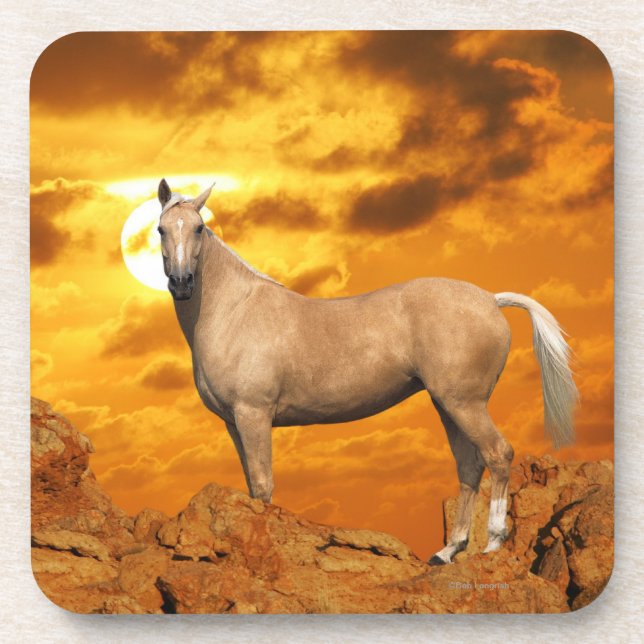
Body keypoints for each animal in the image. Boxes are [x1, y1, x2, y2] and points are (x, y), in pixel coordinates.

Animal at [156, 178, 578, 565]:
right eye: (161, 229)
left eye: (198, 227)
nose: (182, 283)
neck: (235, 311)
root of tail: (491, 299)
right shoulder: (234, 423)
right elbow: (250, 485)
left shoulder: (253, 414)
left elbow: (262, 486)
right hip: (450, 405)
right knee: (470, 465)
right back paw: (448, 550)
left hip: (466, 404)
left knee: (497, 454)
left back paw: (491, 544)